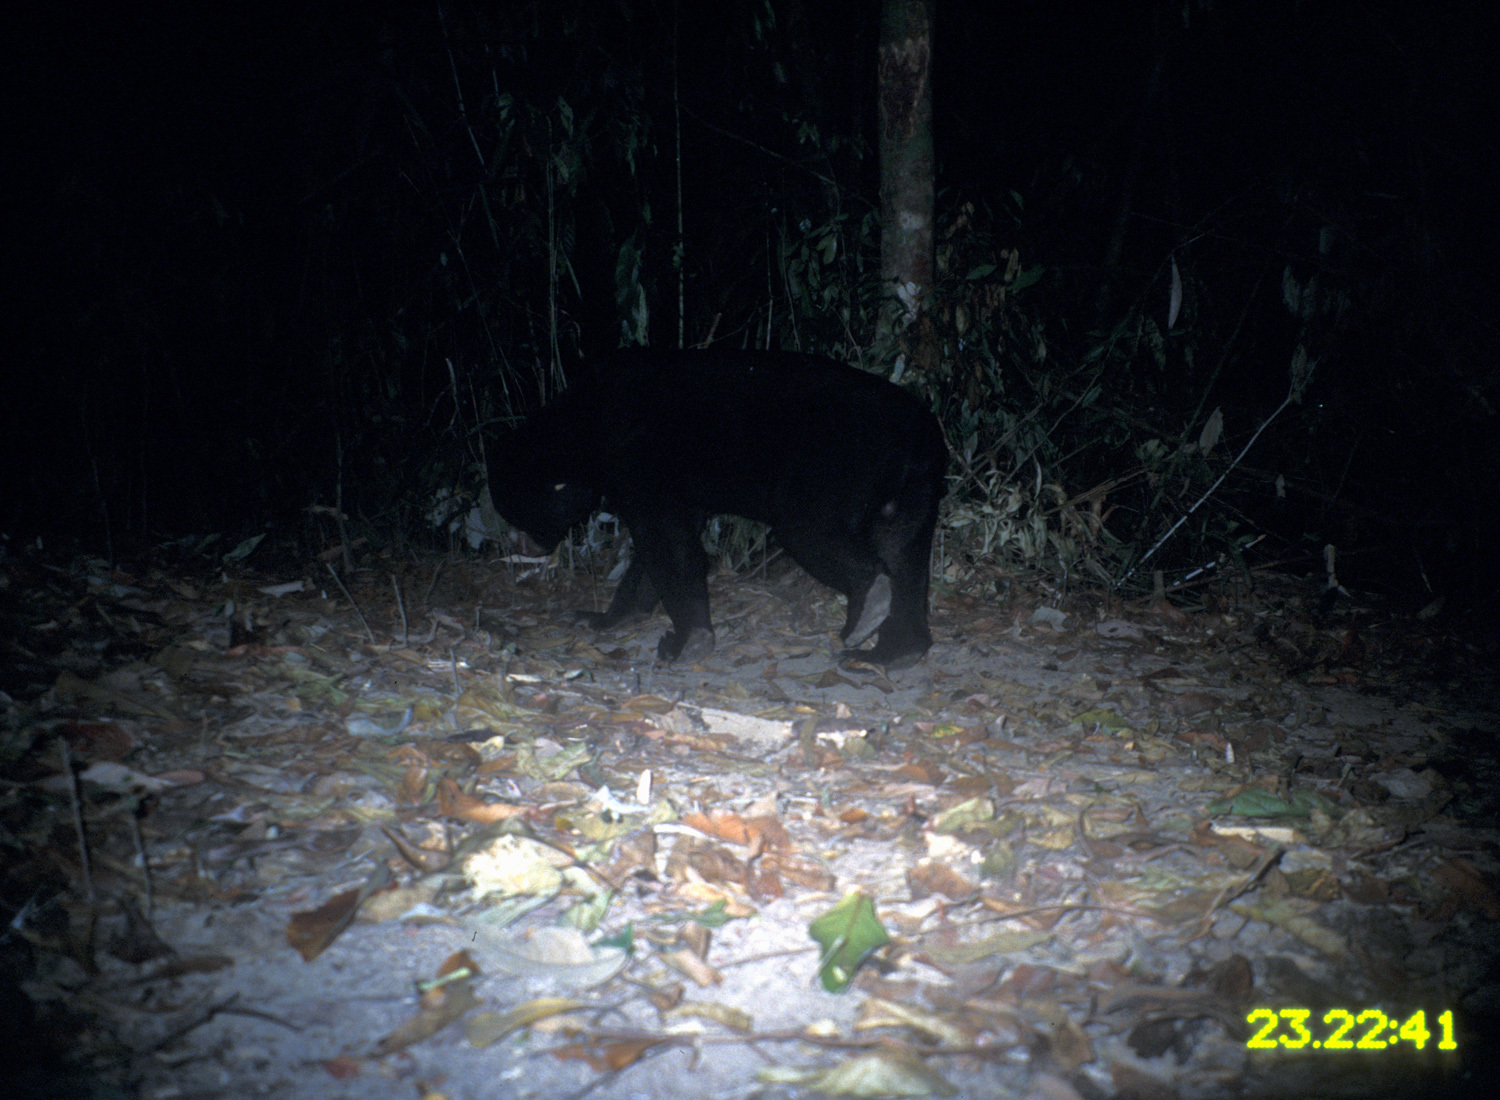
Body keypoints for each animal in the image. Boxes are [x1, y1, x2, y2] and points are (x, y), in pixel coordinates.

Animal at [486, 348, 942, 666]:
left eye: (512, 510)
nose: (516, 544)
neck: (584, 429)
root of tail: (919, 431)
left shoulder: (640, 461)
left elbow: (665, 545)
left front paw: (686, 642)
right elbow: (654, 555)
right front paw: (603, 618)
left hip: (825, 471)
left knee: (822, 538)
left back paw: (867, 610)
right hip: (913, 496)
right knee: (906, 559)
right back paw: (894, 651)